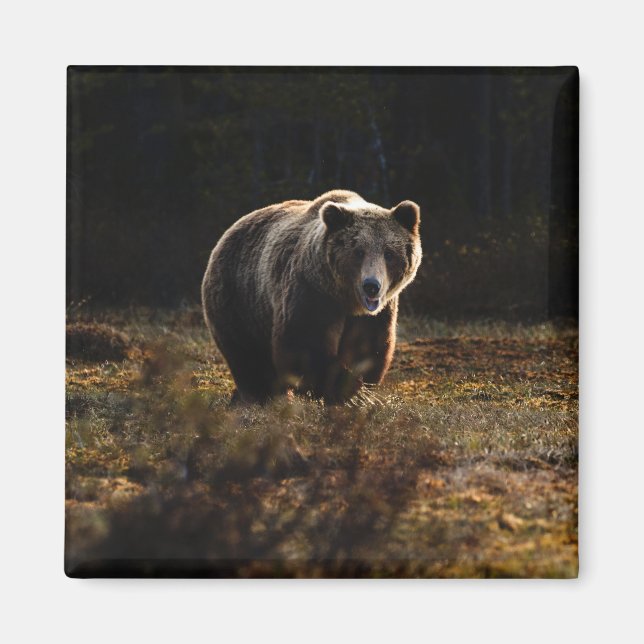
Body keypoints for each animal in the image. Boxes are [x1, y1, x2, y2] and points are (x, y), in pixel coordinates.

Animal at [201, 189, 422, 404]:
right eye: (358, 252)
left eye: (389, 253)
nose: (371, 286)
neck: (345, 299)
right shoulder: (310, 292)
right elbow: (303, 344)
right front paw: (348, 390)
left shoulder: (376, 313)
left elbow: (368, 346)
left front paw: (358, 389)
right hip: (239, 299)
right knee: (248, 356)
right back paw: (261, 396)